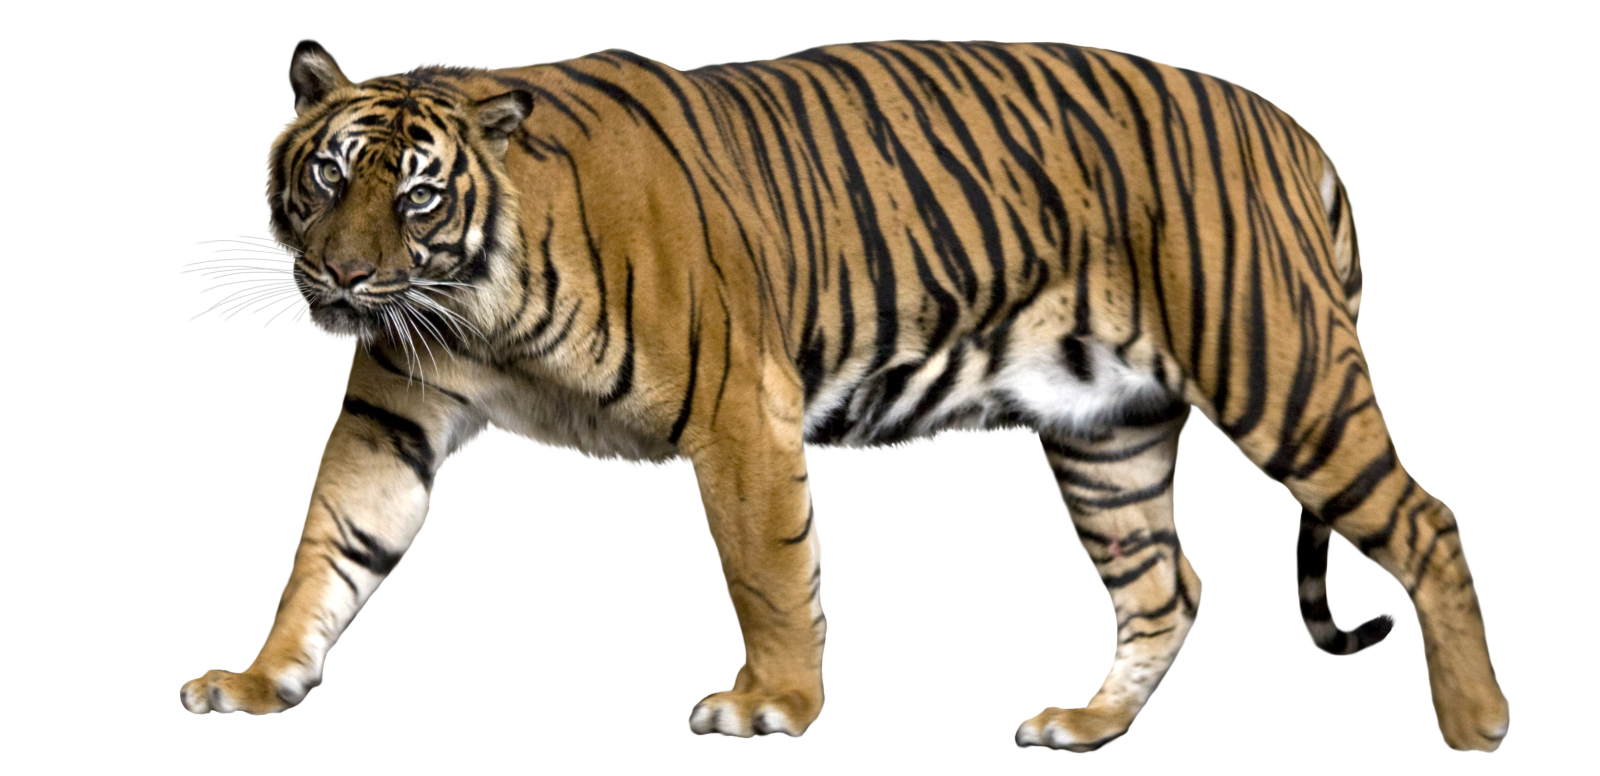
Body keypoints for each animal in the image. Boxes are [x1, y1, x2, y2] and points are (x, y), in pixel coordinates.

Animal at [178, 37, 1510, 752]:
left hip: (1279, 370)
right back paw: (1084, 725)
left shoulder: (738, 408)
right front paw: (259, 678)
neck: (474, 305)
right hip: (1107, 437)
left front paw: (770, 701)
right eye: (324, 176)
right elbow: (328, 548)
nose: (343, 277)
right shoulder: (391, 415)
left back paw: (1476, 721)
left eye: (415, 194)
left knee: (1428, 519)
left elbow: (768, 568)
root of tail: (1293, 130)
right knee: (1166, 584)